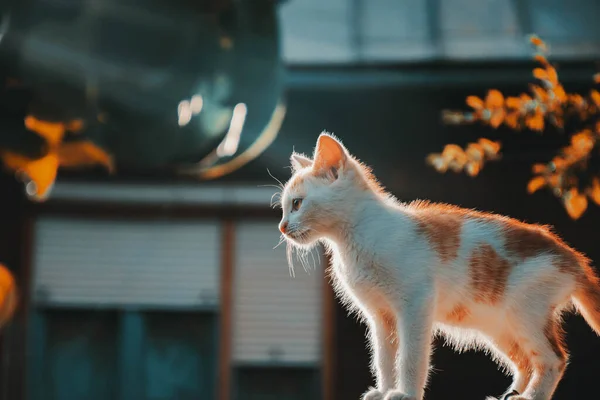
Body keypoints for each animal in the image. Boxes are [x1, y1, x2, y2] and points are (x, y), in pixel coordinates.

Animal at [278, 132, 600, 400]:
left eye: (297, 204)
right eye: (283, 208)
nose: (282, 227)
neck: (357, 236)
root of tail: (572, 257)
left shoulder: (416, 304)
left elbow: (411, 355)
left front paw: (405, 393)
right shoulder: (381, 315)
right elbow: (384, 357)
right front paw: (384, 390)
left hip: (526, 312)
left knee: (553, 359)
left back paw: (530, 397)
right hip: (499, 325)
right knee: (524, 360)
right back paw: (509, 395)